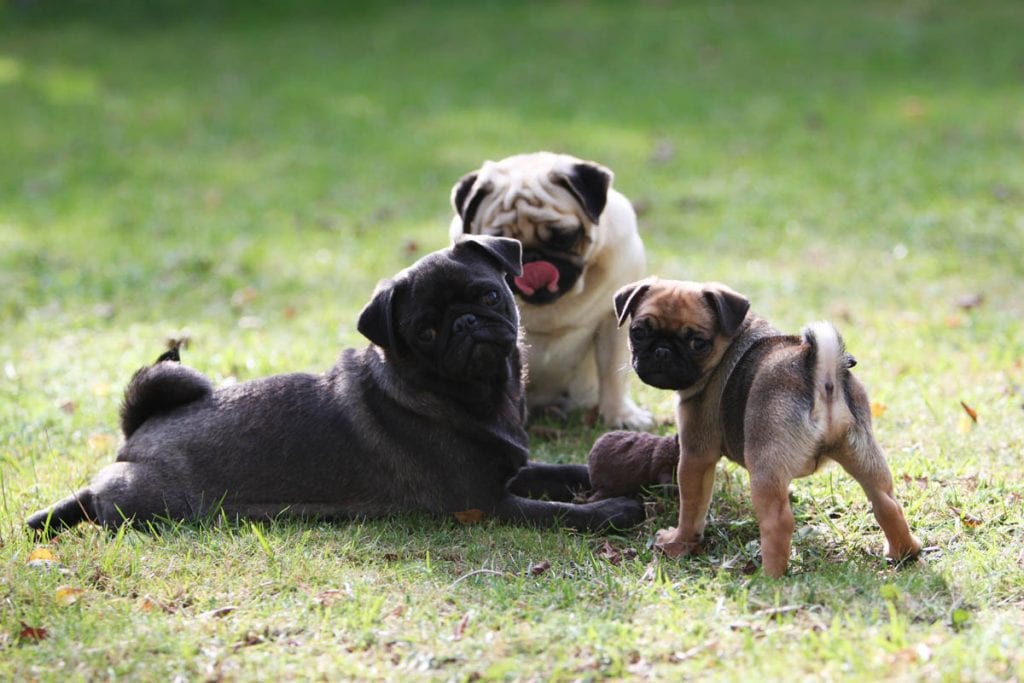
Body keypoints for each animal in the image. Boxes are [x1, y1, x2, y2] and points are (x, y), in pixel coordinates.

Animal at [452, 152, 651, 430]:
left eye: (564, 238)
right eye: (498, 240)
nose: (531, 257)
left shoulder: (613, 323)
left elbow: (612, 373)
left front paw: (621, 416)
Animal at [610, 278, 925, 577]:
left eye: (697, 343)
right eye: (638, 332)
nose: (662, 351)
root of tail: (822, 377)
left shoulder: (695, 456)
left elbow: (692, 509)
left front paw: (678, 543)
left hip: (764, 468)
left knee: (778, 521)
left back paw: (768, 577)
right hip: (862, 453)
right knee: (887, 503)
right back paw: (904, 552)